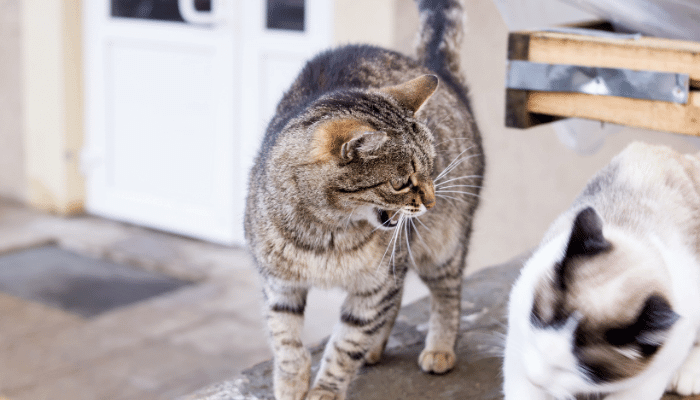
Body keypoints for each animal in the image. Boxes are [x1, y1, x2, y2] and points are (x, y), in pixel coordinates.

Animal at [243, 1, 484, 398]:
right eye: (401, 183)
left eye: (431, 166)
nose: (431, 200)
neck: (327, 230)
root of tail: (440, 73)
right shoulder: (280, 285)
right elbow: (287, 343)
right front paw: (291, 386)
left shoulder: (376, 283)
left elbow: (344, 345)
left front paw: (325, 390)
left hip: (441, 244)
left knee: (447, 293)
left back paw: (439, 347)